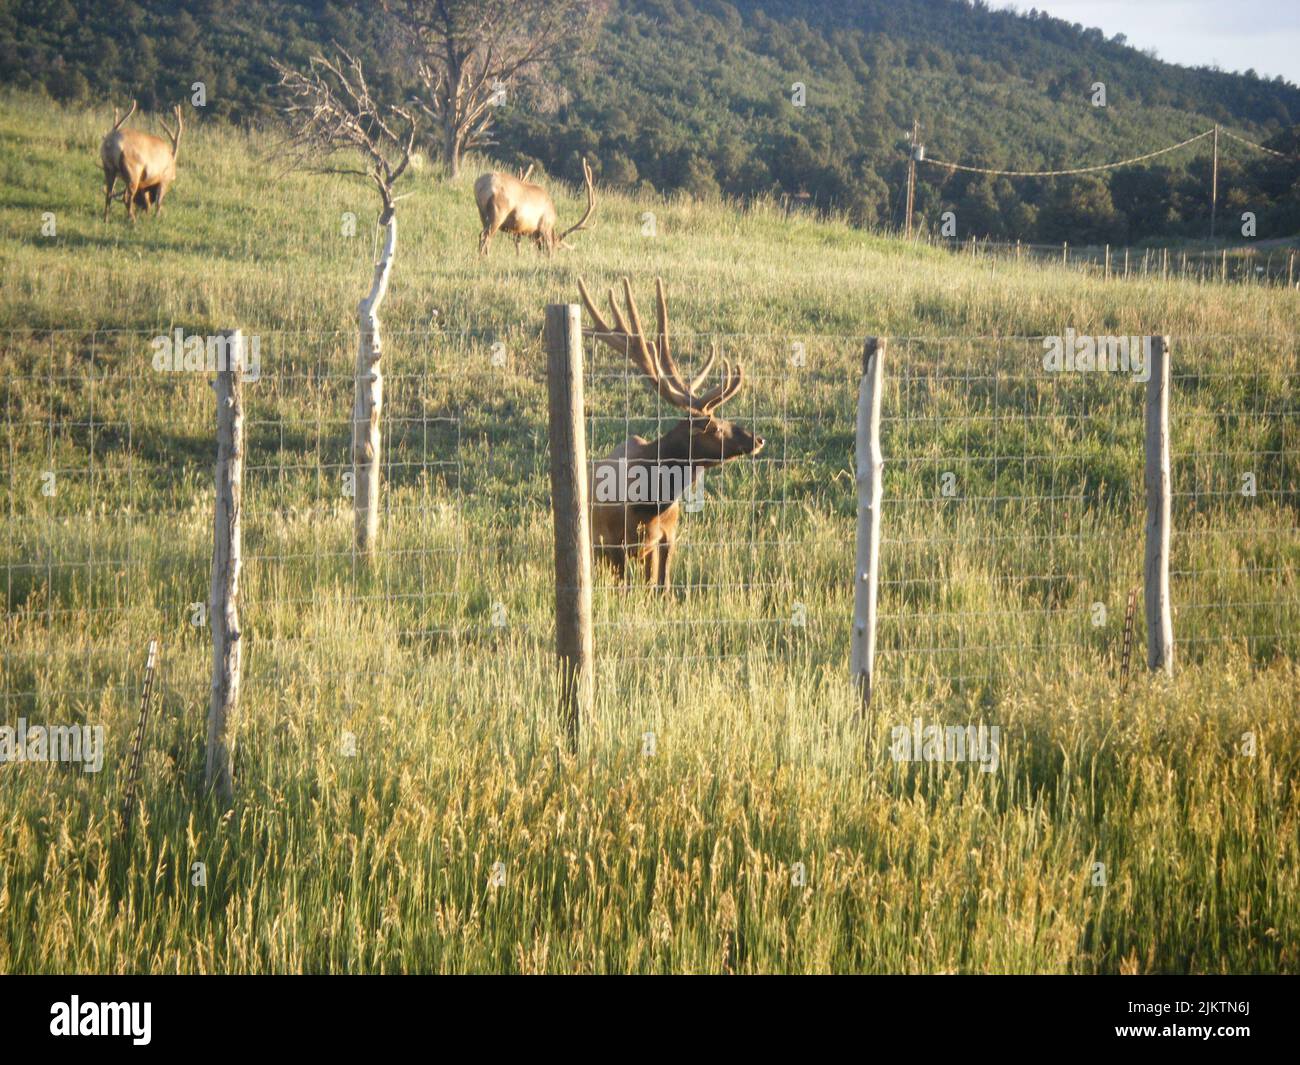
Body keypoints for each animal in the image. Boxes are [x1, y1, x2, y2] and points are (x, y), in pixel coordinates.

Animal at [577, 274, 759, 590]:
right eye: (715, 427)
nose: (757, 438)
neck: (650, 502)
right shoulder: (614, 543)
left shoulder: (666, 537)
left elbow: (662, 588)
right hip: (599, 544)